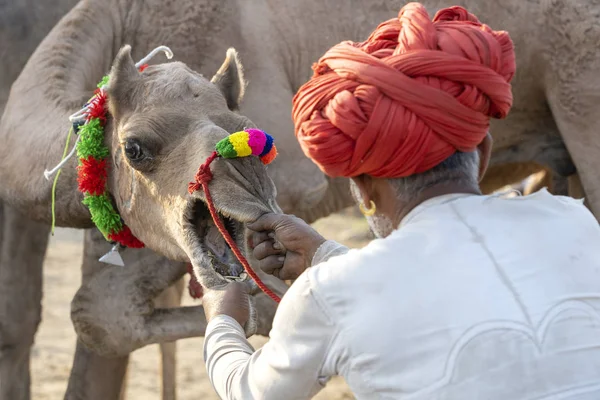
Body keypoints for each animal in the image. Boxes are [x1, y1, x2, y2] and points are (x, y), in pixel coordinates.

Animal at [1, 0, 600, 400]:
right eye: (135, 148)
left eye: (251, 131)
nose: (247, 176)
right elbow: (94, 314)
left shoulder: (296, 184)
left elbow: (97, 312)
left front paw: (269, 310)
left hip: (580, 91)